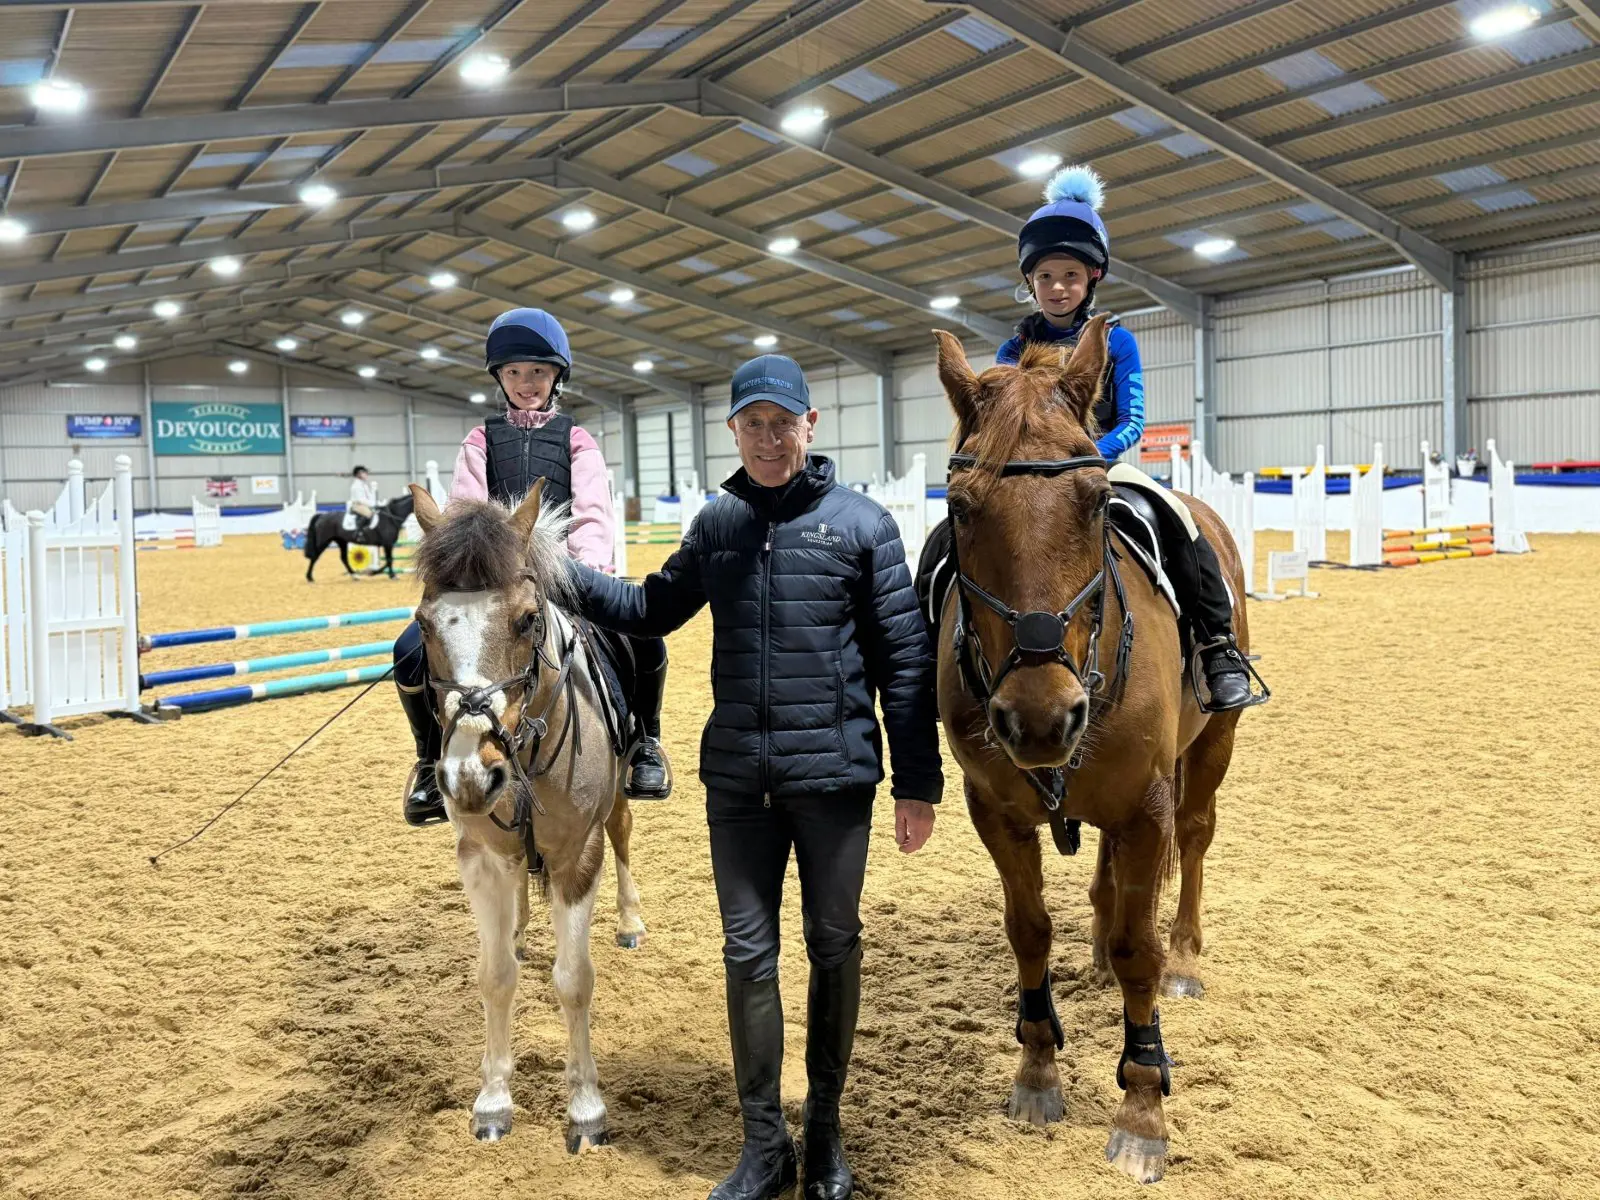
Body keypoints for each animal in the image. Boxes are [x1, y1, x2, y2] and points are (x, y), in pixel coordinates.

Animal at [406, 479, 647, 1150]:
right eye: (423, 624)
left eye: (526, 619)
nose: (469, 774)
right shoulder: (479, 858)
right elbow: (495, 975)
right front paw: (493, 1101)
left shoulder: (576, 856)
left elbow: (573, 978)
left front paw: (586, 1109)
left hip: (620, 802)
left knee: (624, 840)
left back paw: (630, 921)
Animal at [930, 317, 1247, 1184]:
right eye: (961, 507)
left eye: (1098, 499)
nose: (1041, 721)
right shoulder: (995, 812)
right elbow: (1029, 929)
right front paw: (1037, 1072)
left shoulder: (1148, 807)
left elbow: (1140, 947)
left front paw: (1143, 1111)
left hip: (1213, 748)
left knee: (1195, 842)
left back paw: (1186, 960)